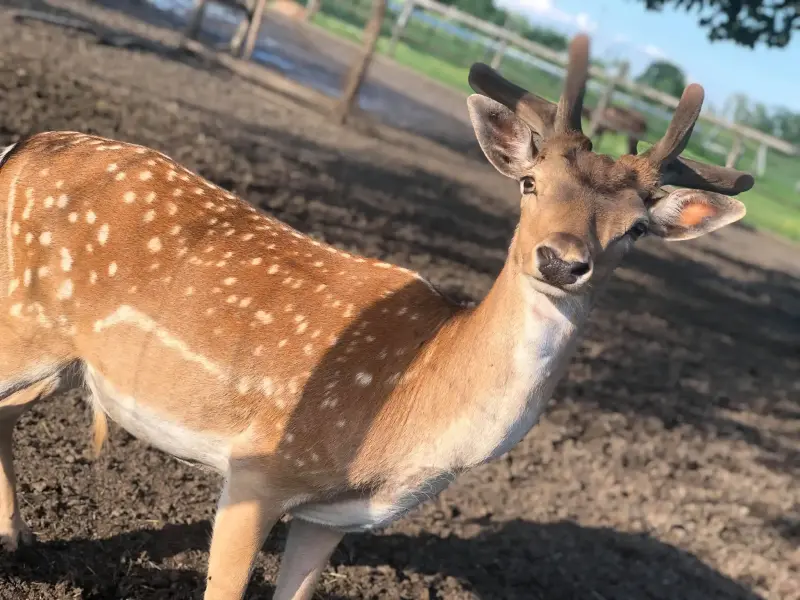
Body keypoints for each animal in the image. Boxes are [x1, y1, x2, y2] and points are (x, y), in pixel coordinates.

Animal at [0, 32, 752, 600]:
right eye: (530, 183)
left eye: (636, 231)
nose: (563, 261)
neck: (409, 426)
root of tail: (23, 145)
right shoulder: (259, 466)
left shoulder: (335, 516)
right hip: (22, 324)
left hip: (64, 362)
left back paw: (22, 541)